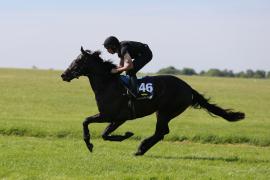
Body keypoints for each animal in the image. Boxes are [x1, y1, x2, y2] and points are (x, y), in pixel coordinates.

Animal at [60, 47, 245, 155]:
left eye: (78, 60)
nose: (64, 75)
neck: (108, 84)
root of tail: (188, 88)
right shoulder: (113, 117)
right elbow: (97, 129)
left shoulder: (114, 116)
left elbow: (93, 126)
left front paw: (123, 136)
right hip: (162, 112)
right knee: (162, 132)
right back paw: (142, 148)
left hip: (166, 112)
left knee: (161, 132)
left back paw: (141, 148)